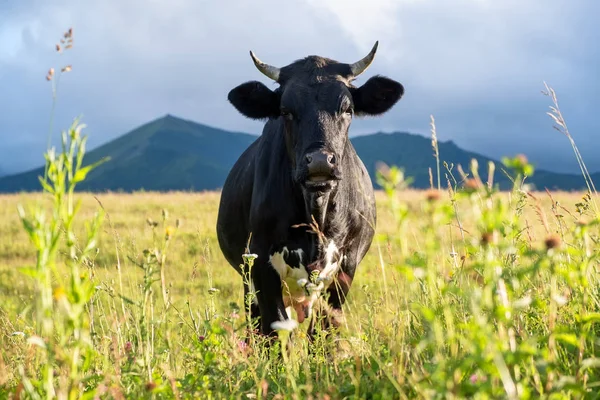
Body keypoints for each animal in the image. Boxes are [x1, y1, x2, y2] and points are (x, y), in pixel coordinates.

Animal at [216, 42, 404, 340]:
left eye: (348, 108)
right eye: (285, 110)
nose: (319, 161)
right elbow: (275, 330)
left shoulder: (346, 267)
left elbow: (324, 333)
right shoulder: (260, 265)